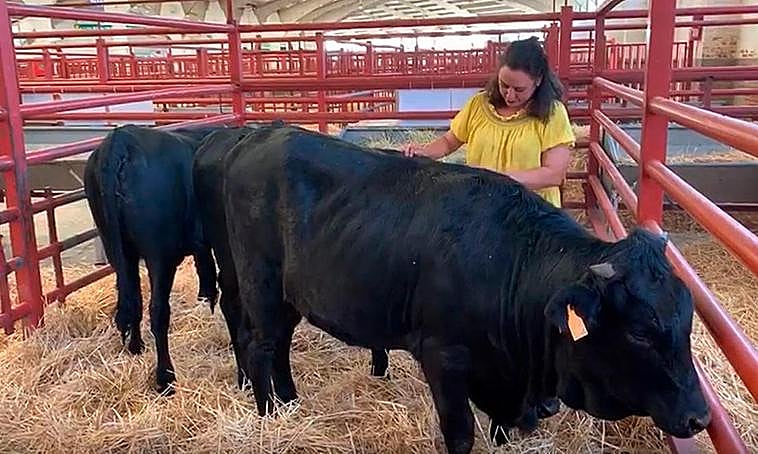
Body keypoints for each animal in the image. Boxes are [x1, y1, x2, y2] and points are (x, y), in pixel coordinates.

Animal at [84, 124, 226, 395]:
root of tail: (120, 140)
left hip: (118, 249)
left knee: (131, 299)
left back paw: (136, 347)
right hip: (159, 255)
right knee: (157, 310)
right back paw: (165, 377)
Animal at [215, 124, 710, 453]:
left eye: (687, 322)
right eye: (641, 333)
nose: (700, 416)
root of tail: (260, 135)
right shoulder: (443, 357)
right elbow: (461, 434)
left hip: (287, 296)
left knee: (279, 345)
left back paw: (291, 404)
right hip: (259, 283)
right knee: (260, 345)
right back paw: (269, 415)